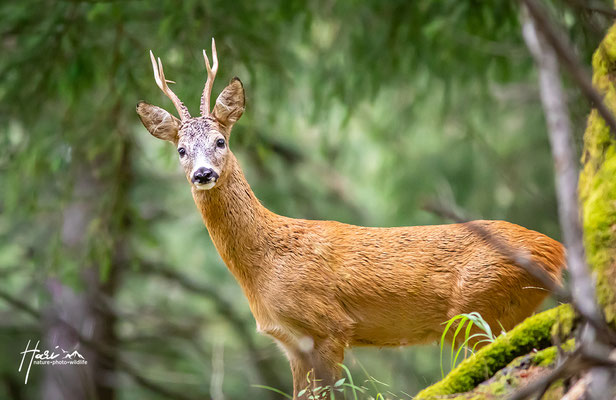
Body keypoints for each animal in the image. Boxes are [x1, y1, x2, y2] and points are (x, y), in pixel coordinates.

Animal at [137, 39, 564, 398]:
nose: (203, 173)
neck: (265, 266)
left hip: (481, 305)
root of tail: (555, 249)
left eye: (221, 141)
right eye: (180, 150)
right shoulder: (292, 343)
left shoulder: (330, 326)